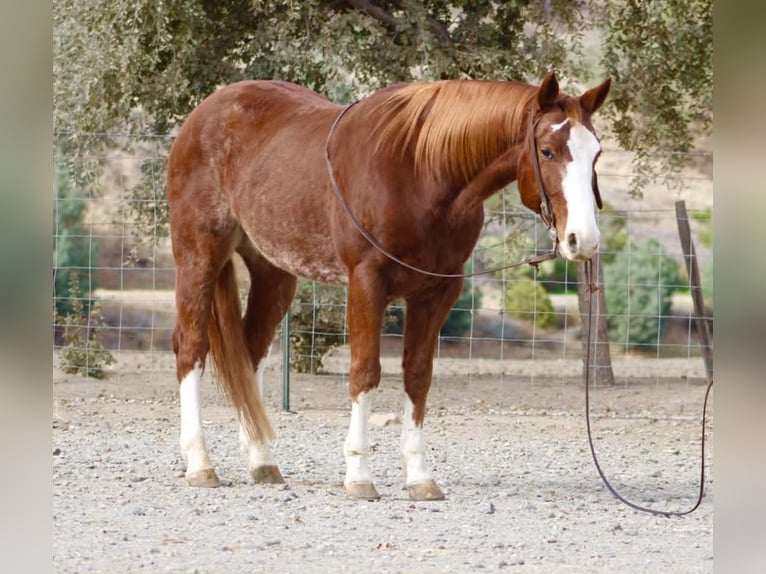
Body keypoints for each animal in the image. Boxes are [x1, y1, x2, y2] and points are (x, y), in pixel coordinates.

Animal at [167, 72, 611, 500]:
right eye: (548, 151)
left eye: (597, 152)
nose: (584, 240)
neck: (421, 173)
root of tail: (203, 114)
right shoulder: (366, 283)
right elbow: (365, 372)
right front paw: (359, 475)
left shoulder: (438, 292)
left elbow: (417, 375)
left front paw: (419, 477)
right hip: (198, 256)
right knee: (191, 347)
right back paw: (200, 463)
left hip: (274, 273)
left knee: (249, 353)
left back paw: (261, 460)